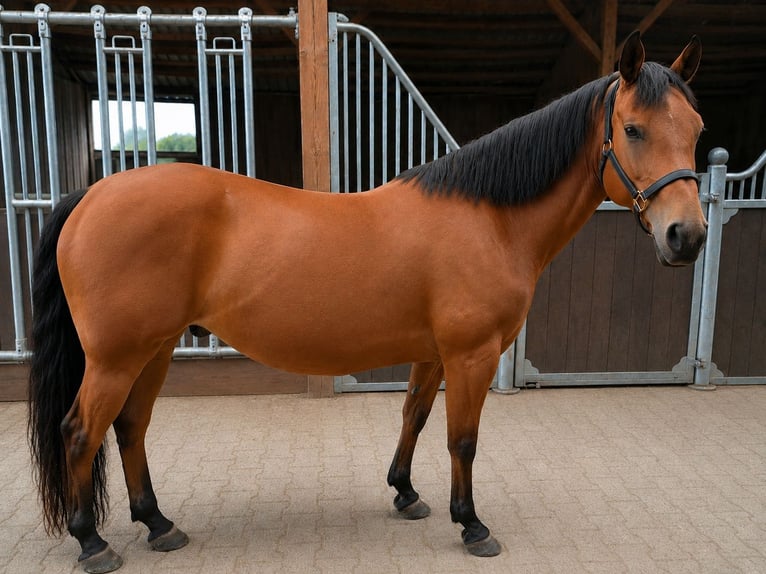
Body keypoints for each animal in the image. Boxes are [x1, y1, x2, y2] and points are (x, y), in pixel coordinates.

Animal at [28, 31, 706, 573]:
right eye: (633, 129)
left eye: (697, 131)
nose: (688, 236)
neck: (488, 219)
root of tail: (89, 197)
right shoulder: (472, 355)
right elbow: (463, 439)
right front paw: (472, 524)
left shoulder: (433, 354)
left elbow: (413, 418)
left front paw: (405, 493)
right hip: (118, 357)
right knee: (81, 431)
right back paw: (93, 543)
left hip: (156, 348)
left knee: (130, 427)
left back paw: (158, 524)